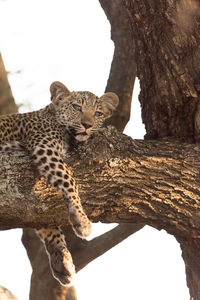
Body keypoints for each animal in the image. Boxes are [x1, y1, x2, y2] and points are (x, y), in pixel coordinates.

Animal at [0, 80, 119, 286]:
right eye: (77, 107)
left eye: (98, 113)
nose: (87, 125)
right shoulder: (45, 148)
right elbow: (69, 180)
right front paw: (81, 220)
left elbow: (44, 223)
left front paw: (61, 260)